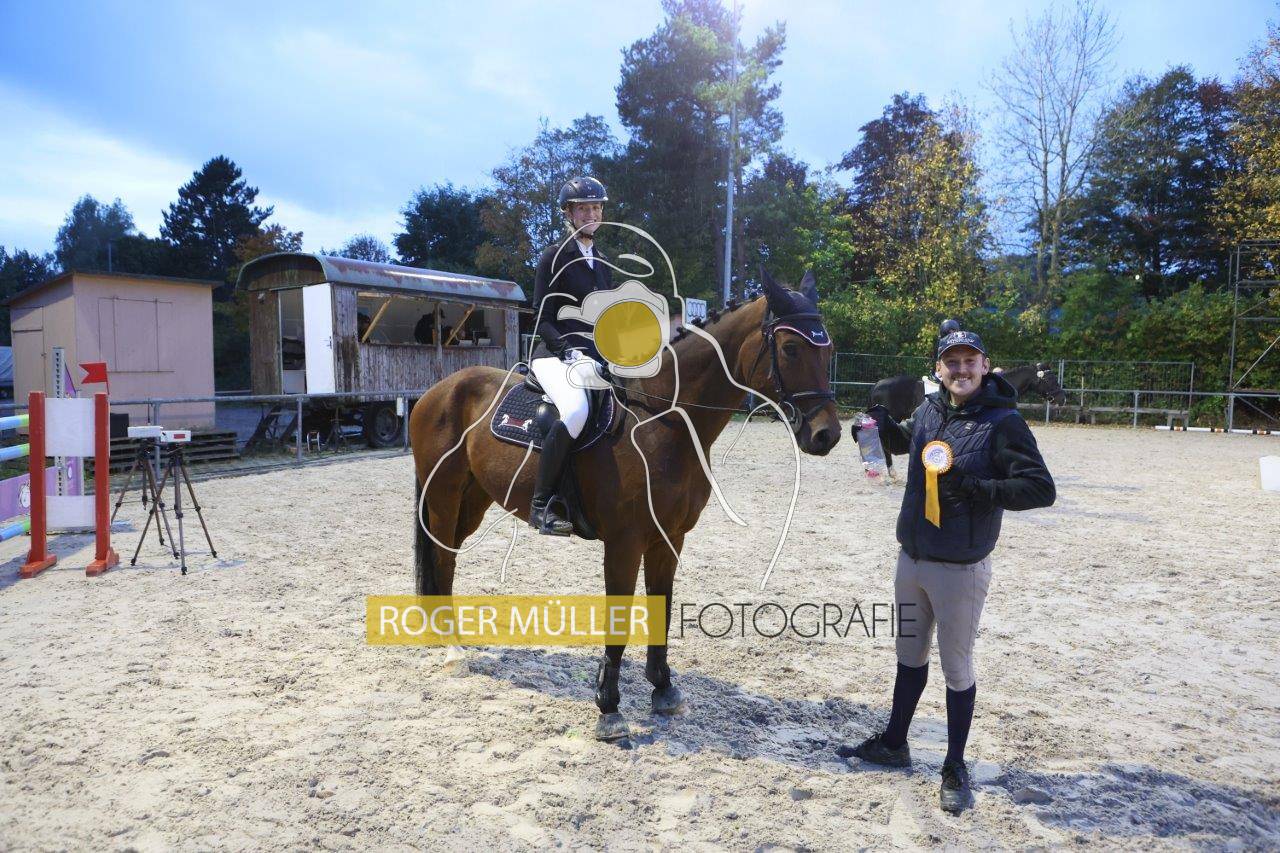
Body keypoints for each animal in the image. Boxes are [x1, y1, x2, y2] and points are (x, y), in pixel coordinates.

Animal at [408, 269, 841, 743]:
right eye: (791, 347)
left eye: (829, 349)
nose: (827, 435)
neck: (663, 420)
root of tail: (439, 389)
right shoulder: (624, 542)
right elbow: (619, 618)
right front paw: (609, 709)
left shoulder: (669, 538)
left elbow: (662, 608)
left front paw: (663, 689)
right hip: (444, 496)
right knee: (442, 560)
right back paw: (451, 649)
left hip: (473, 500)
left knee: (447, 558)